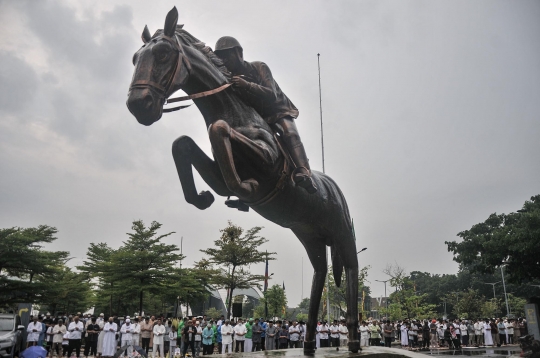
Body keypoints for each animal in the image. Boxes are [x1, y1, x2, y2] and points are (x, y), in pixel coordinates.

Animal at [127, 7, 360, 352]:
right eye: (135, 58)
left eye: (164, 53)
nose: (138, 105)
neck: (234, 111)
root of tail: (334, 188)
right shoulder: (219, 173)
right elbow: (183, 144)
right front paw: (203, 198)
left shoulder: (267, 160)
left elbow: (218, 129)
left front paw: (245, 190)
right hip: (309, 234)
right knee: (320, 273)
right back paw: (307, 341)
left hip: (342, 231)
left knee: (353, 269)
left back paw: (354, 338)